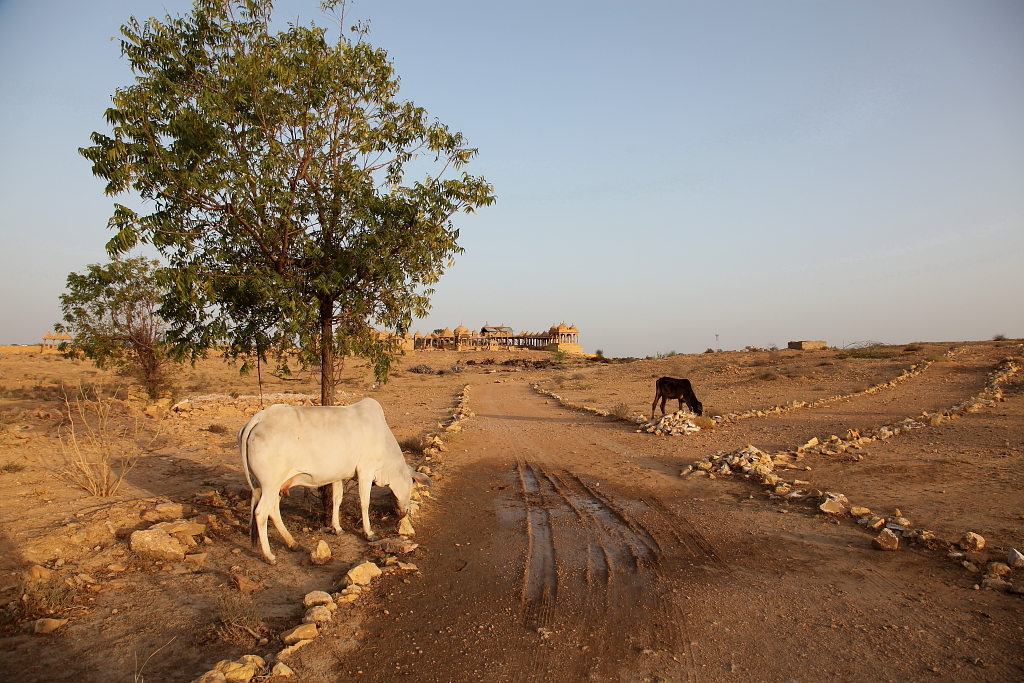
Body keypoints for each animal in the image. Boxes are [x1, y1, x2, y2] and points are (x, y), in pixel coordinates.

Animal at [237, 397, 430, 565]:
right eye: (411, 485)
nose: (404, 511)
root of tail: (259, 418)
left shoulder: (339, 476)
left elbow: (337, 500)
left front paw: (336, 528)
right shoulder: (365, 471)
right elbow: (364, 502)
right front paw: (369, 532)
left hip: (273, 486)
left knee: (273, 511)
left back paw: (292, 543)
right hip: (270, 484)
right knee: (261, 513)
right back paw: (269, 556)